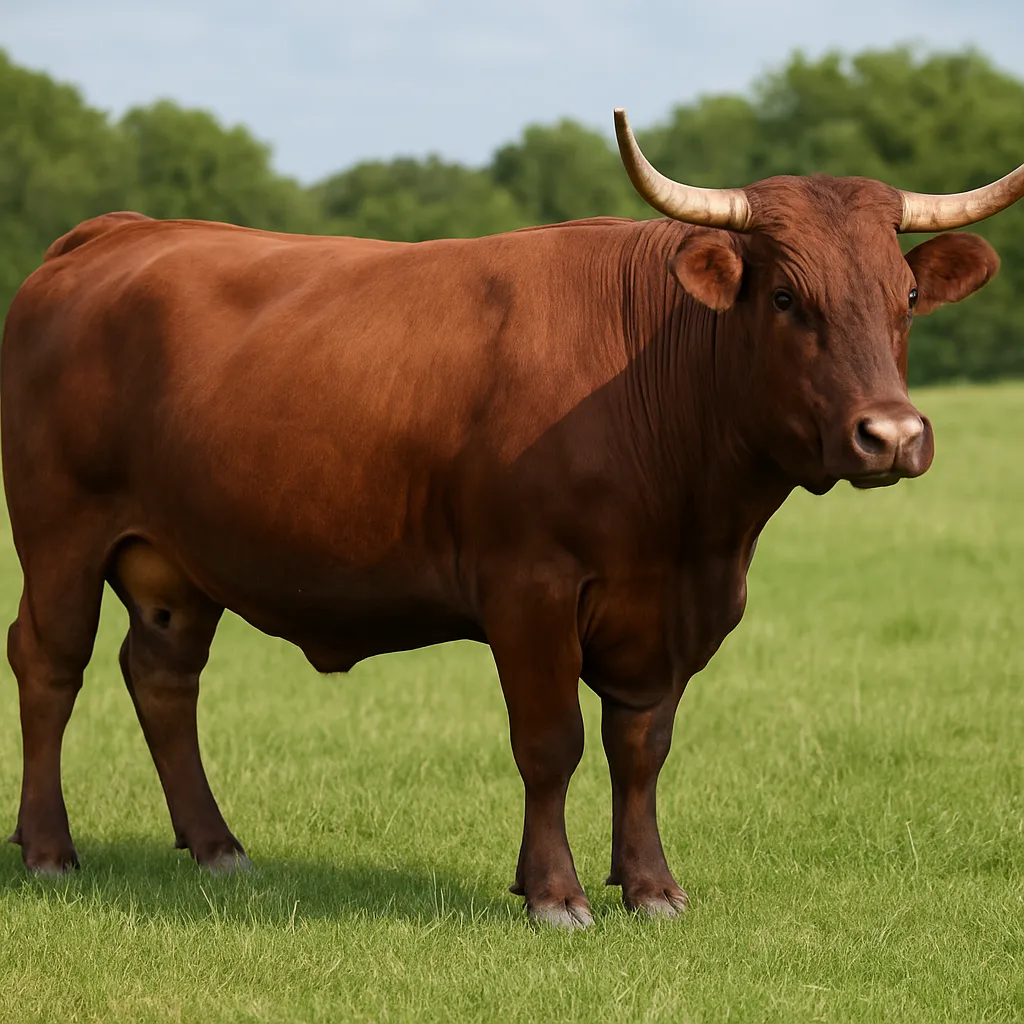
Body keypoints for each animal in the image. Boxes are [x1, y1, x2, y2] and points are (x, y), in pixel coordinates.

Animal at [2, 108, 1020, 929]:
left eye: (907, 297)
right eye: (783, 297)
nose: (892, 435)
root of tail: (118, 233)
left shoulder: (671, 609)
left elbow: (642, 747)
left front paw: (651, 887)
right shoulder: (530, 587)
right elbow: (550, 742)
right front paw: (555, 895)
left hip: (174, 561)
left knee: (162, 675)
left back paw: (217, 848)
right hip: (59, 532)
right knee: (50, 664)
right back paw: (49, 851)